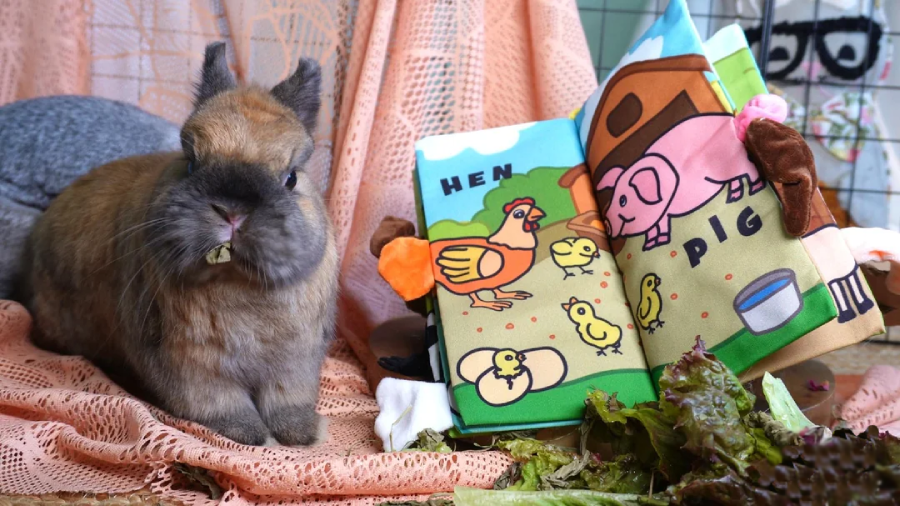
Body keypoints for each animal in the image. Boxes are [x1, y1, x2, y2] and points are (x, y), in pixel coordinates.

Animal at [597, 96, 787, 251]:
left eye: (623, 200)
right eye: (614, 198)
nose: (606, 224)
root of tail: (733, 123)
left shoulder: (663, 212)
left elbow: (662, 227)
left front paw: (661, 240)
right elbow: (652, 231)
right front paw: (650, 245)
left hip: (738, 164)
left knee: (748, 173)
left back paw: (753, 189)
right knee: (736, 181)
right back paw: (733, 198)